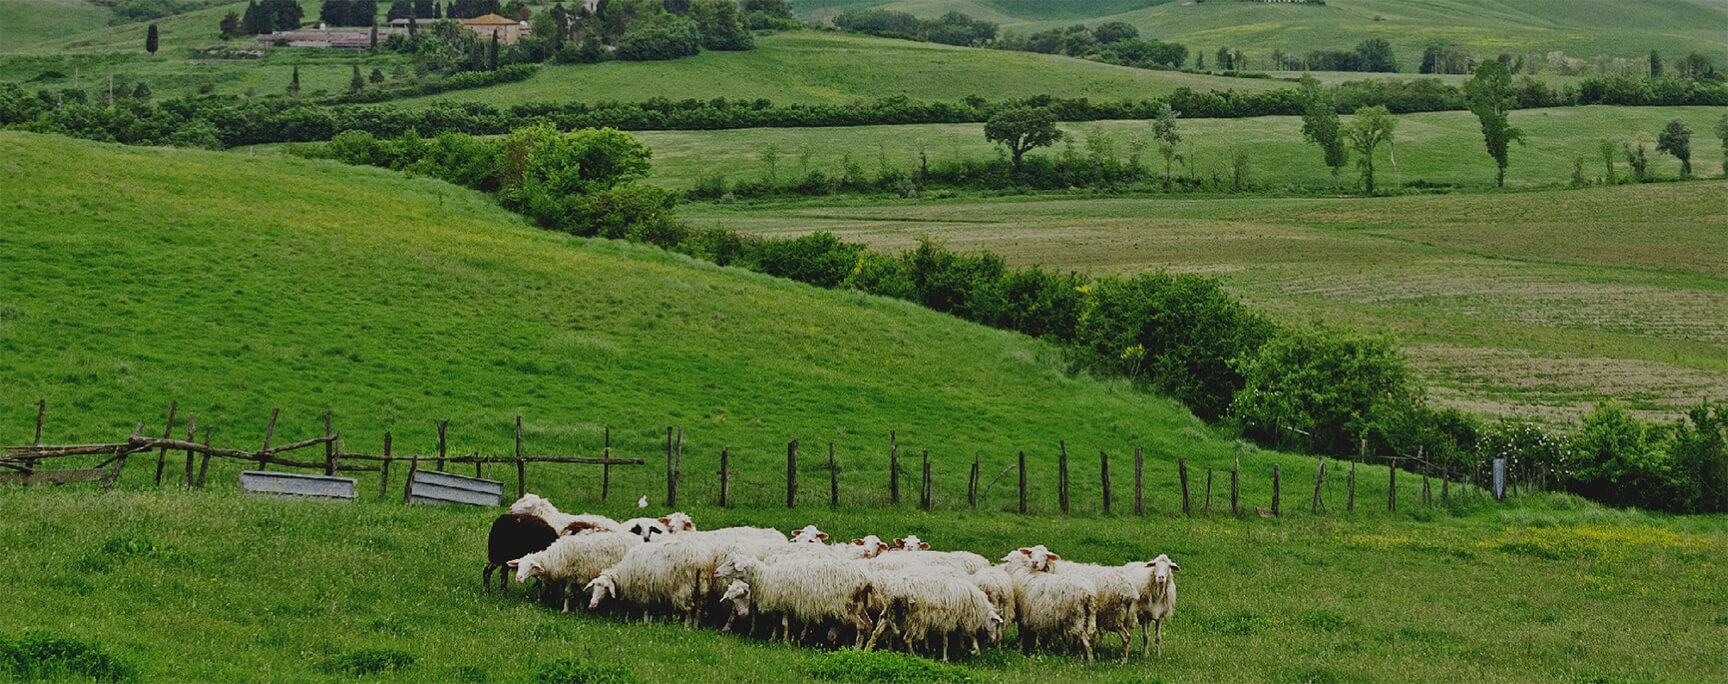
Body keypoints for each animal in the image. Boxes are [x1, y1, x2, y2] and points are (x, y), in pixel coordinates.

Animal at [511, 532, 649, 611]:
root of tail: (638, 538)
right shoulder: (578, 576)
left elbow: (567, 593)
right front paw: (581, 607)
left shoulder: (571, 576)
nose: (518, 578)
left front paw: (565, 610)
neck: (553, 557)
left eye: (531, 566)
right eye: (519, 565)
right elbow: (579, 592)